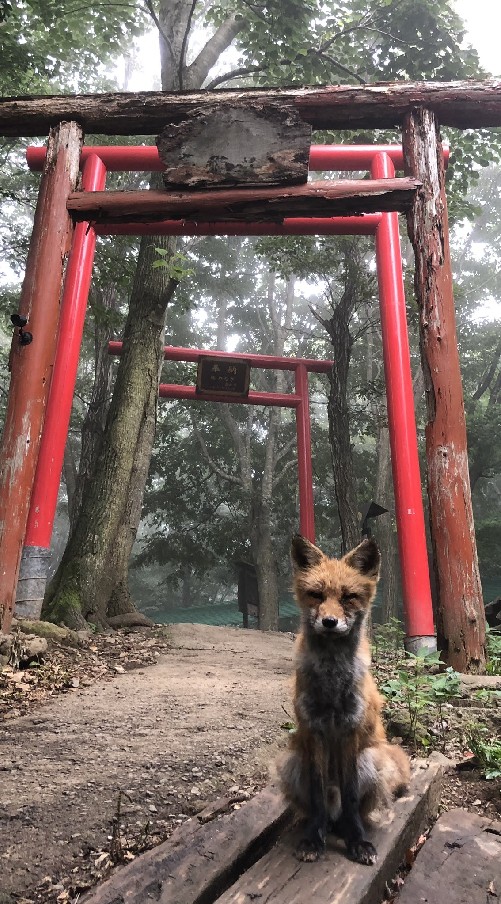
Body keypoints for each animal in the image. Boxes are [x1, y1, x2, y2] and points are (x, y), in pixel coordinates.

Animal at [280, 532, 408, 864]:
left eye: (348, 596)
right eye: (315, 595)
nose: (329, 622)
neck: (332, 682)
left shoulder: (350, 730)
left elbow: (350, 798)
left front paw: (357, 841)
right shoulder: (314, 731)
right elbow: (317, 796)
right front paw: (313, 839)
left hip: (370, 758)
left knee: (355, 808)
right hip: (292, 761)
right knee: (324, 810)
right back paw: (324, 826)